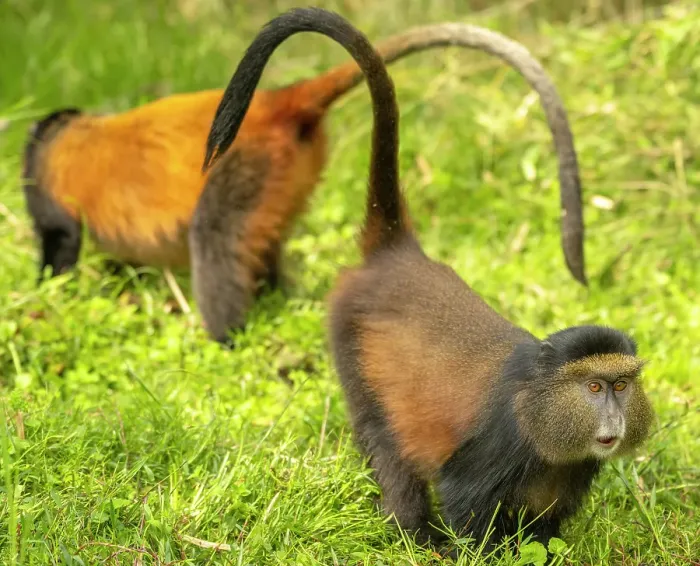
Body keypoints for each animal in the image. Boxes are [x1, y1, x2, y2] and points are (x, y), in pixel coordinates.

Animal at [24, 19, 586, 345]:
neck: (71, 129)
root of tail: (277, 103)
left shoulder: (42, 173)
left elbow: (61, 239)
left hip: (247, 161)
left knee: (214, 233)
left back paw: (225, 340)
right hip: (282, 171)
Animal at [203, 6, 655, 554]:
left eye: (621, 386)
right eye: (593, 387)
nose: (613, 420)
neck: (539, 400)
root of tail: (396, 254)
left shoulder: (572, 466)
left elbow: (544, 525)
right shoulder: (499, 443)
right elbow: (463, 501)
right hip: (352, 352)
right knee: (386, 443)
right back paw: (413, 534)